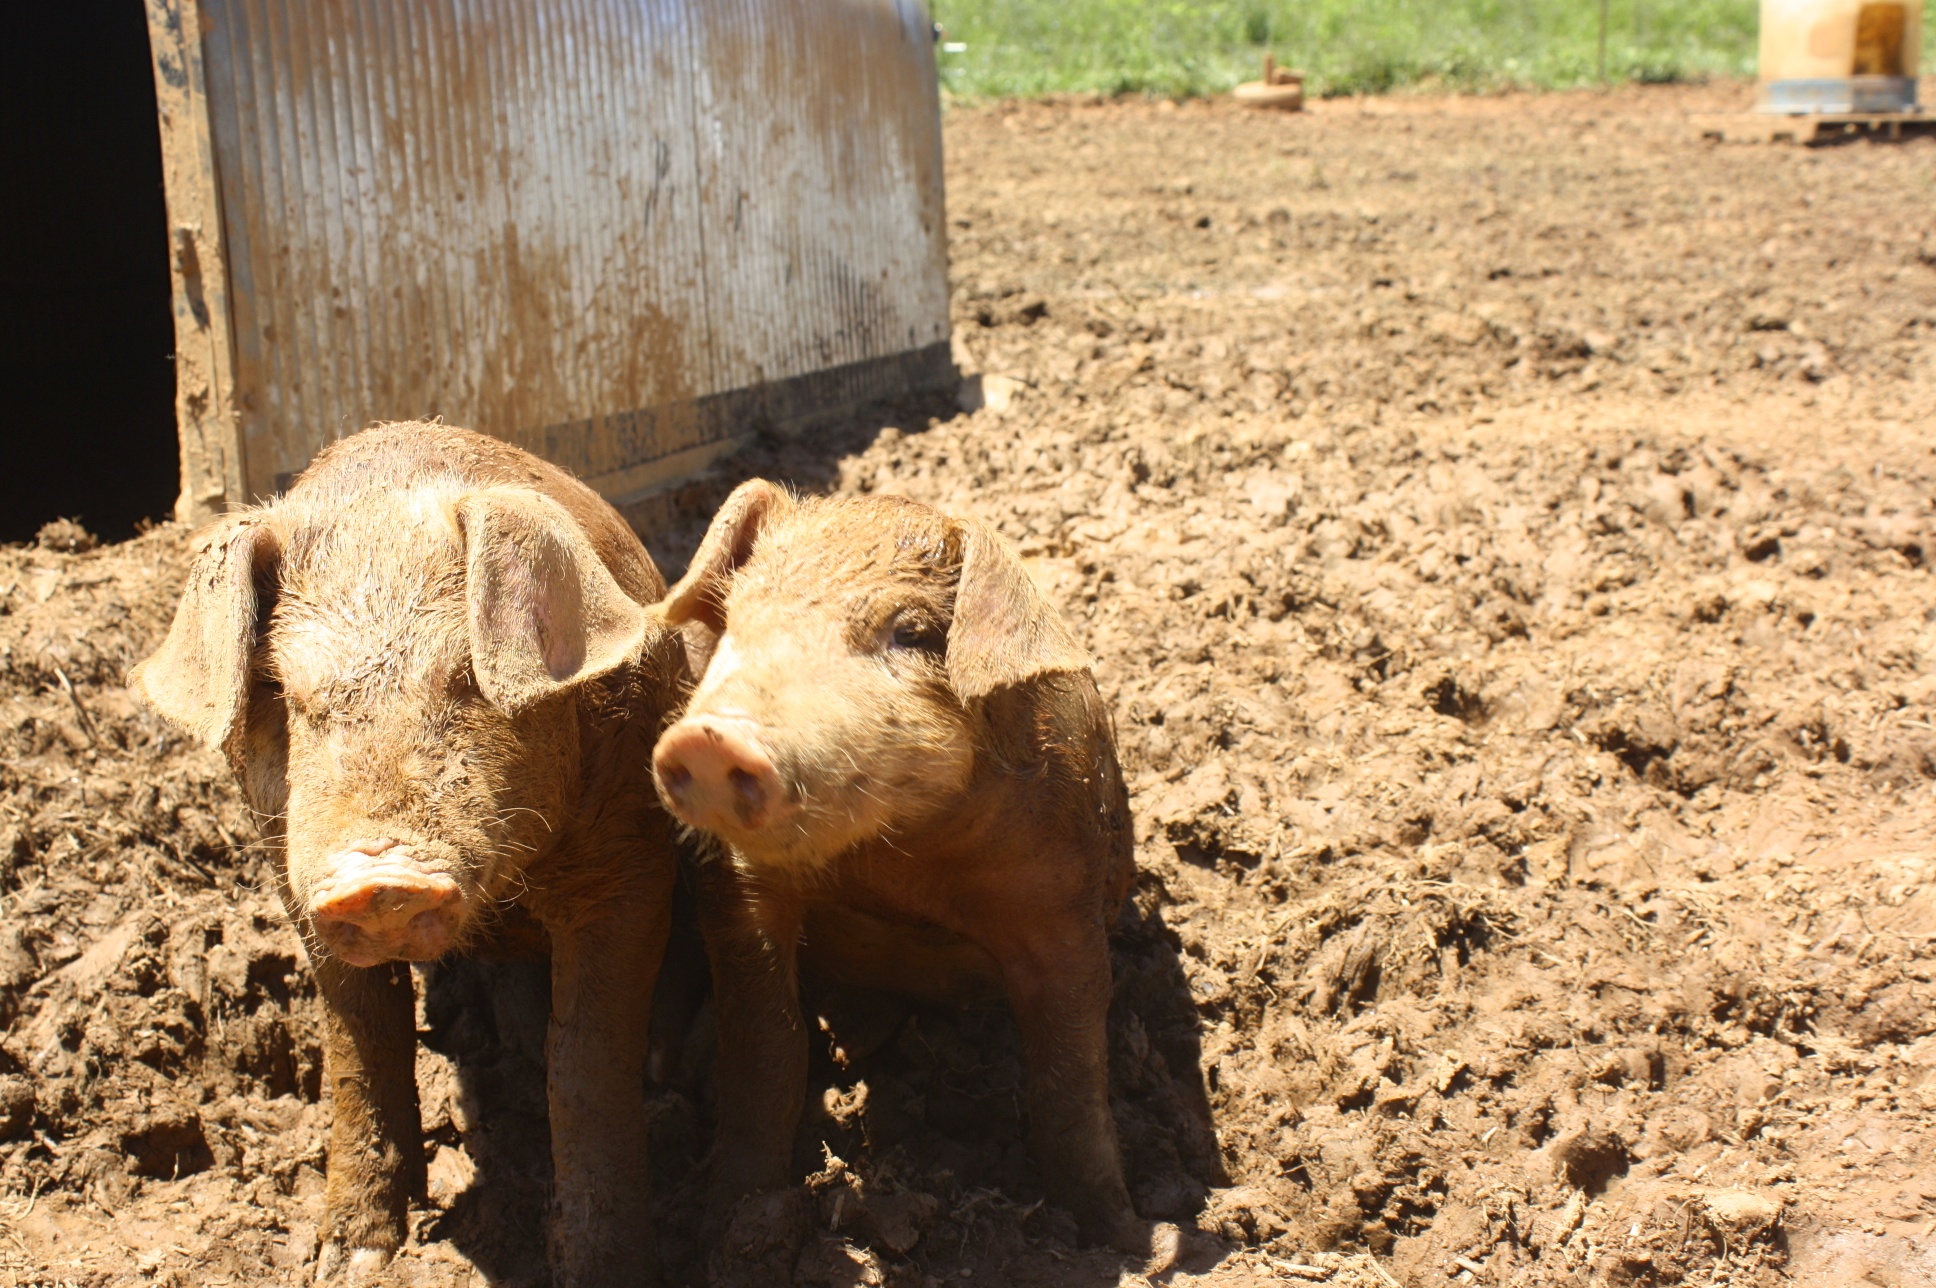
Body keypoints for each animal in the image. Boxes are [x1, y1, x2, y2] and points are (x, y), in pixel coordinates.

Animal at [129, 422, 689, 1285]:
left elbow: (585, 1064)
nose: (380, 880)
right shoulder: (294, 887)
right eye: (285, 692)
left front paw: (609, 1268)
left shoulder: (629, 860)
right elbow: (361, 1046)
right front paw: (349, 1260)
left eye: (465, 676)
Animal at [649, 480, 1141, 1248]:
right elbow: (766, 1048)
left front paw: (1123, 1239)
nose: (711, 738)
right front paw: (733, 1217)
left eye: (909, 633)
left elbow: (1069, 1074)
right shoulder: (742, 888)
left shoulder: (1065, 906)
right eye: (736, 619)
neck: (894, 872)